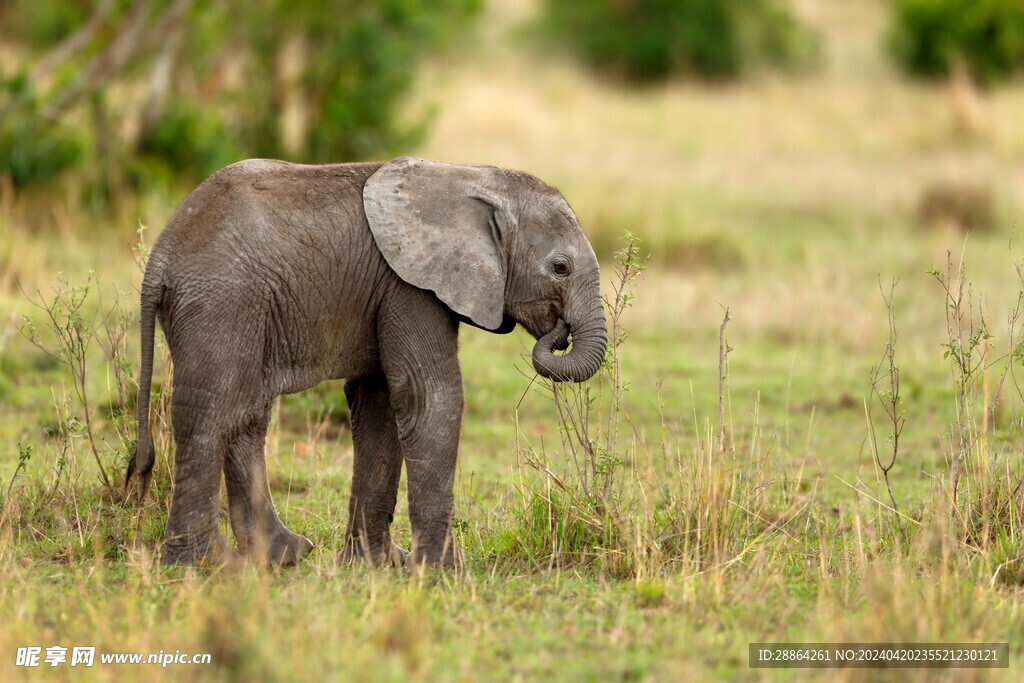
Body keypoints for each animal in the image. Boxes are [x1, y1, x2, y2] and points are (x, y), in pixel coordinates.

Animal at [128, 157, 606, 569]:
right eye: (560, 268)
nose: (558, 332)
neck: (472, 177)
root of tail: (159, 259)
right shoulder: (409, 287)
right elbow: (430, 398)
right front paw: (441, 571)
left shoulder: (390, 291)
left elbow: (379, 407)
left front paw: (375, 565)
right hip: (220, 304)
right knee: (211, 417)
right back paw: (209, 566)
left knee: (246, 416)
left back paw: (284, 556)